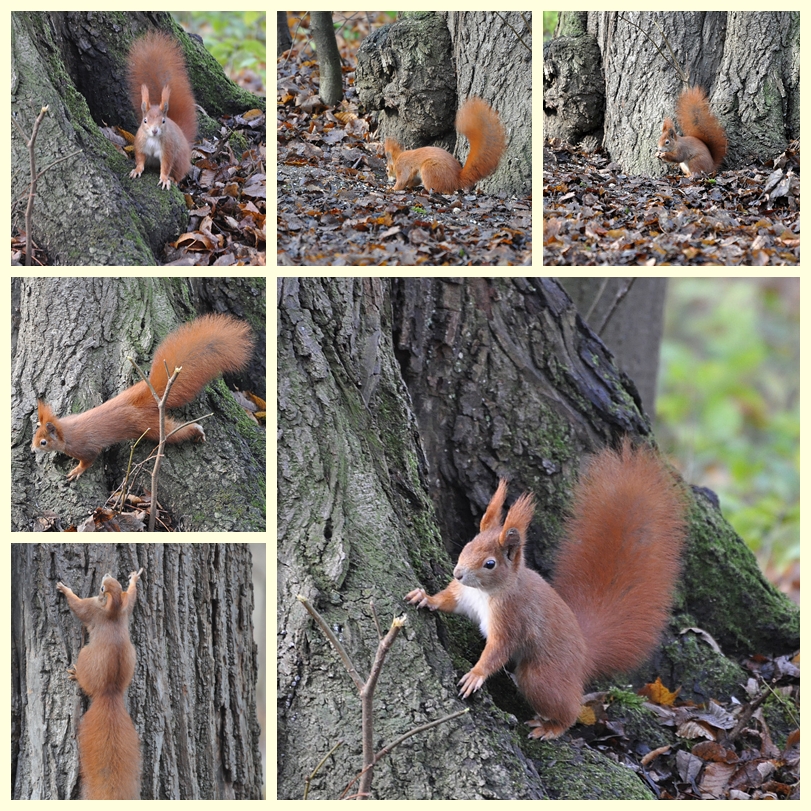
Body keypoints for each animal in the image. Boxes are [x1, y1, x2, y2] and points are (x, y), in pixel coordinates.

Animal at [31, 312, 254, 478]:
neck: (66, 431)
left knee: (175, 432)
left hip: (150, 426)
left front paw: (77, 470)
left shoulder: (86, 447)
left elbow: (89, 459)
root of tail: (148, 394)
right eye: (35, 435)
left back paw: (196, 430)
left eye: (43, 442)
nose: (33, 450)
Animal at [56, 568, 144, 804]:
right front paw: (135, 579)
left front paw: (65, 589)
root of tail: (110, 693)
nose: (106, 574)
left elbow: (78, 607)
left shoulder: (92, 608)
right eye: (115, 583)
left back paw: (76, 675)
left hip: (85, 656)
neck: (113, 611)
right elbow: (132, 597)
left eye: (103, 588)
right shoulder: (125, 607)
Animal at [131, 30, 201, 190]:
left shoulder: (167, 150)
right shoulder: (140, 144)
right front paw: (137, 170)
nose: (154, 131)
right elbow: (140, 159)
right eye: (145, 121)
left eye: (163, 121)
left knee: (180, 171)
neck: (153, 139)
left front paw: (164, 179)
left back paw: (174, 179)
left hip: (180, 159)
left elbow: (166, 166)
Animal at [406, 438, 684, 744]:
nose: (458, 573)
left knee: (569, 708)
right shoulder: (464, 595)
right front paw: (425, 598)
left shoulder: (512, 618)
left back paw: (551, 728)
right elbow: (447, 601)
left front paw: (476, 675)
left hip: (542, 677)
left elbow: (498, 650)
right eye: (468, 545)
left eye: (490, 564)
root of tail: (585, 655)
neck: (486, 592)